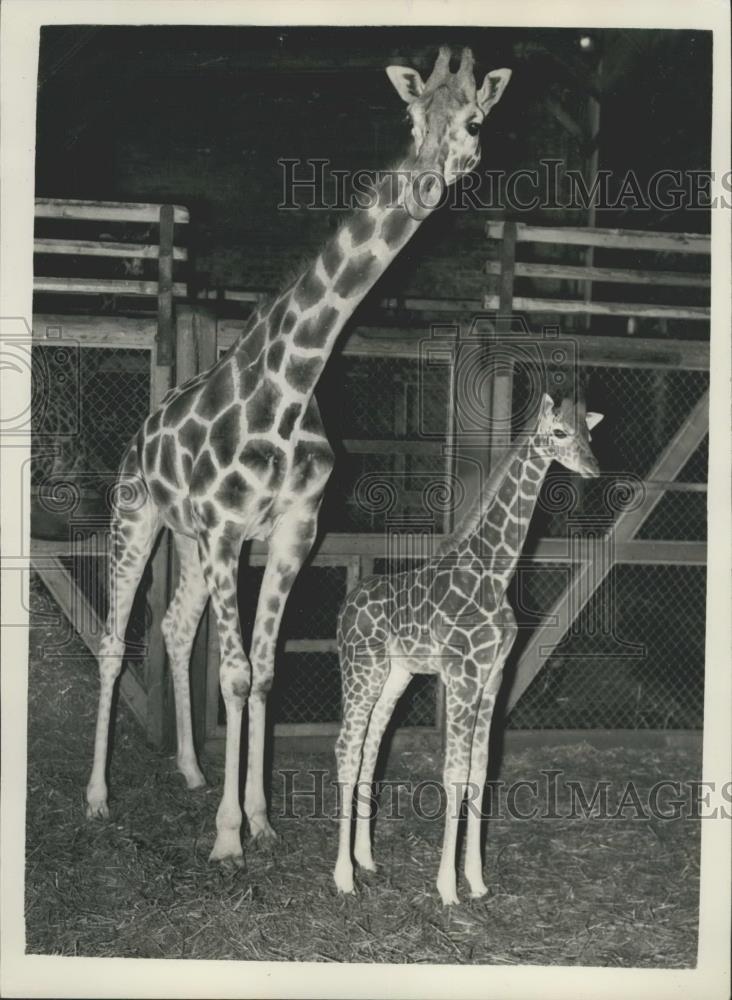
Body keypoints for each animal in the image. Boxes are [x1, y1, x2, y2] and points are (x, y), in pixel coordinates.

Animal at [87, 47, 508, 864]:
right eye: (412, 116)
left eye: (475, 121)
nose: (425, 175)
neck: (291, 384)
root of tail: (141, 432)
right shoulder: (228, 532)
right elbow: (235, 672)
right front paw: (227, 838)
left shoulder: (288, 532)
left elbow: (266, 669)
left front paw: (258, 816)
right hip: (138, 518)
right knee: (116, 640)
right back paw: (97, 797)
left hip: (190, 541)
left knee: (176, 627)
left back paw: (191, 770)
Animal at [334, 392, 604, 908]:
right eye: (559, 432)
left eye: (590, 433)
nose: (594, 468)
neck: (496, 574)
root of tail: (345, 607)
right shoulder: (463, 674)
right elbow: (454, 773)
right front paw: (446, 888)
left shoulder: (494, 675)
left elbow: (481, 772)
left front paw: (477, 881)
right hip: (359, 670)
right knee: (346, 749)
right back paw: (342, 877)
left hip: (394, 677)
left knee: (370, 752)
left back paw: (366, 860)